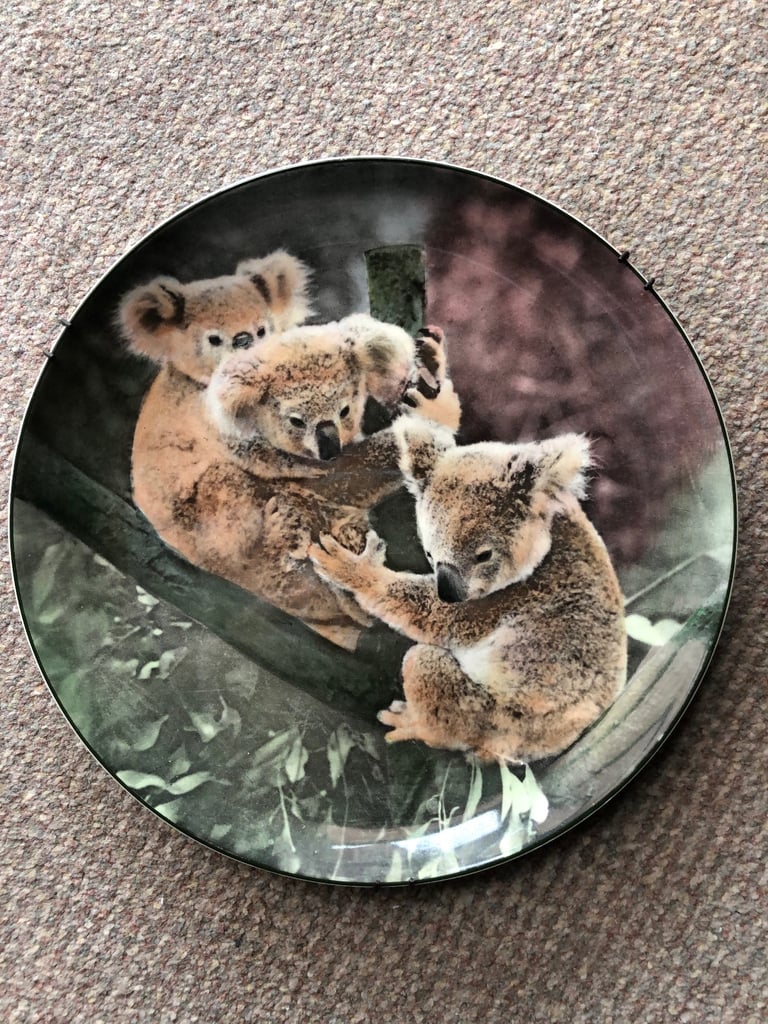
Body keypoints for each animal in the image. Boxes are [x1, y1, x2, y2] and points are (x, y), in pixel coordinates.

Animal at [309, 420, 627, 760]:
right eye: (430, 554)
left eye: (484, 555)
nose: (449, 595)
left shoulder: (511, 599)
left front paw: (351, 567)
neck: (550, 539)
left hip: (487, 714)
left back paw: (411, 723)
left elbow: (432, 615)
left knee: (425, 671)